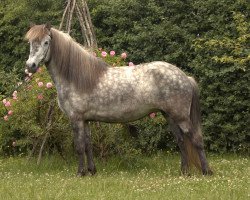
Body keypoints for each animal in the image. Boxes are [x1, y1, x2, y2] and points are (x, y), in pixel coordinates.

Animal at [25, 23, 213, 176]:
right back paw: (184, 172)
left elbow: (79, 147)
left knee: (196, 140)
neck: (76, 77)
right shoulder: (85, 120)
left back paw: (206, 172)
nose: (30, 66)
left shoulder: (76, 119)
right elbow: (88, 145)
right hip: (169, 116)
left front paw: (80, 173)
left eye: (46, 42)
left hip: (181, 117)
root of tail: (185, 77)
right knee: (181, 142)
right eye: (30, 43)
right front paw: (91, 171)